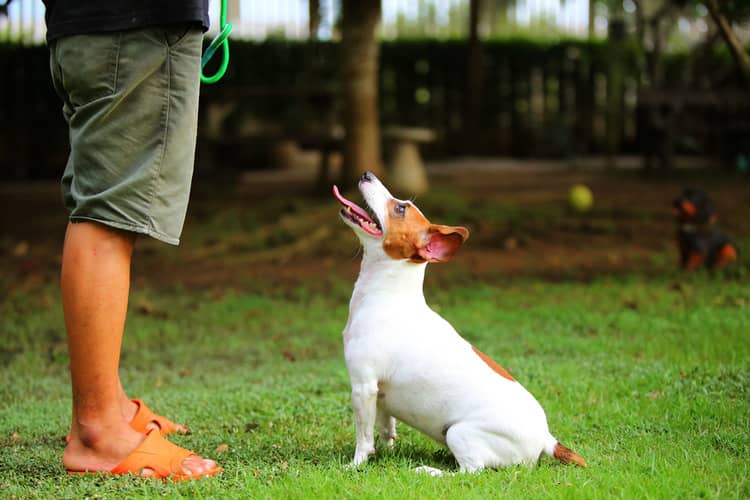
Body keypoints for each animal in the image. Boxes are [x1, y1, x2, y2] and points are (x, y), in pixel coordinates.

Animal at [334, 173, 588, 476]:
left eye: (400, 208)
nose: (367, 174)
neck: (387, 295)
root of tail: (546, 440)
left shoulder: (363, 386)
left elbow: (363, 437)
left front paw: (355, 464)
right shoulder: (379, 393)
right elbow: (385, 427)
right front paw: (387, 452)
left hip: (459, 433)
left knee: (470, 471)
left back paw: (429, 471)